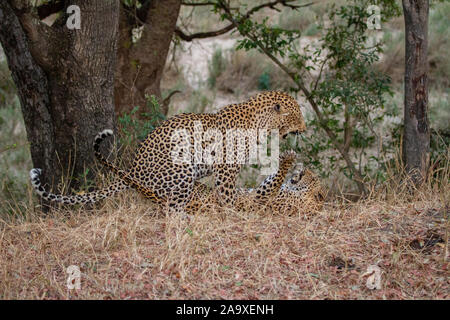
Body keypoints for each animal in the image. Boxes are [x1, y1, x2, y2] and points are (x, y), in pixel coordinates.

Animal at [29, 90, 308, 210]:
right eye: (297, 114)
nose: (305, 128)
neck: (260, 123)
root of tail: (133, 171)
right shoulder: (226, 171)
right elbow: (228, 195)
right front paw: (234, 213)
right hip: (181, 169)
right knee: (173, 210)